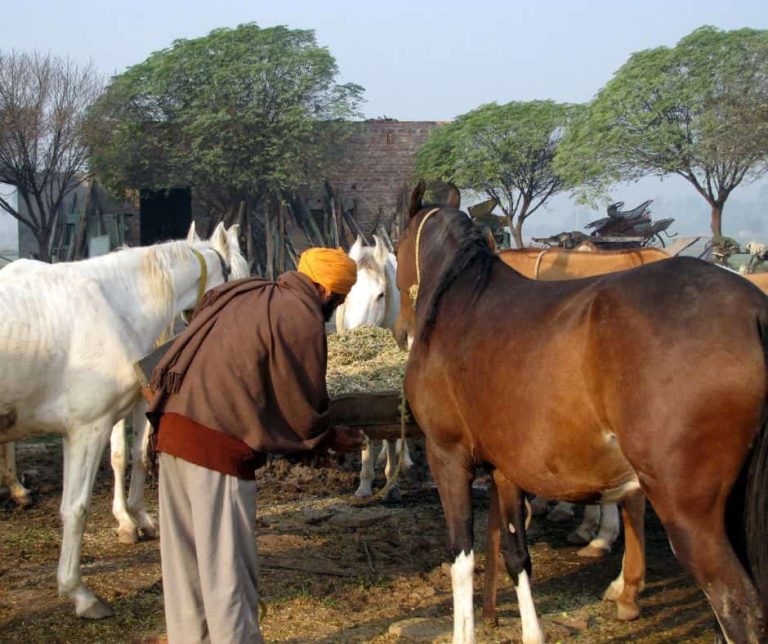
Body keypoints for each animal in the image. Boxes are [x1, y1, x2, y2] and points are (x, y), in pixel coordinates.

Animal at [334, 234, 412, 502]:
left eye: (380, 295)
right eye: (346, 294)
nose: (357, 332)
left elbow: (391, 433)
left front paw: (392, 485)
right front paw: (364, 485)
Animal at [394, 181, 768, 644]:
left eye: (395, 243)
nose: (401, 332)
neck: (461, 300)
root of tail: (752, 309)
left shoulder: (448, 458)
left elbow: (461, 558)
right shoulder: (506, 471)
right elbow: (517, 554)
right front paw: (533, 633)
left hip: (689, 513)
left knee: (736, 605)